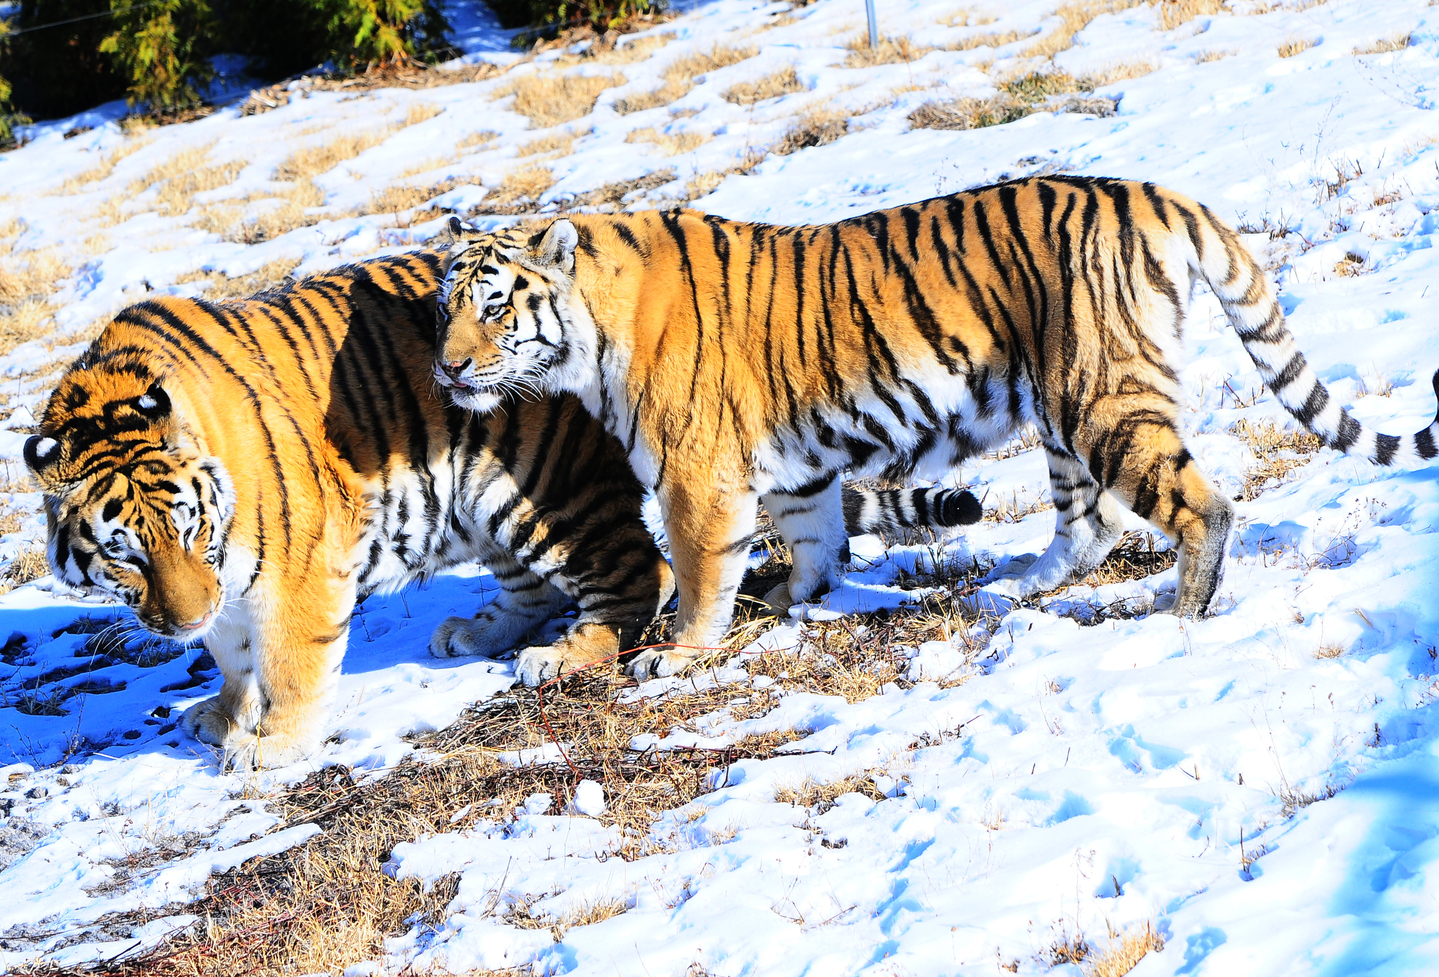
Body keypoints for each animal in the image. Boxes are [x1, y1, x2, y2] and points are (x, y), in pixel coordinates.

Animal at [23, 249, 981, 768]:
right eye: (124, 550)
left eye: (184, 526)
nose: (181, 615)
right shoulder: (224, 590)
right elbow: (230, 652)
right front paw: (222, 710)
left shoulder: (291, 570)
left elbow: (290, 662)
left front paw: (269, 745)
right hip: (477, 504)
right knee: (540, 586)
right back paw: (475, 632)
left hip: (538, 491)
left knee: (641, 573)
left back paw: (558, 656)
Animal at [431, 177, 1439, 680]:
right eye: (445, 306)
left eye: (492, 307)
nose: (445, 368)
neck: (593, 327)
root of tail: (1150, 191)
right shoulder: (791, 471)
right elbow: (813, 540)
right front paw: (791, 599)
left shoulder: (695, 477)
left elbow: (697, 575)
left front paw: (679, 656)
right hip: (1062, 412)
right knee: (1090, 524)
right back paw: (1023, 587)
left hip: (1100, 397)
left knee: (1200, 505)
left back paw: (1180, 615)